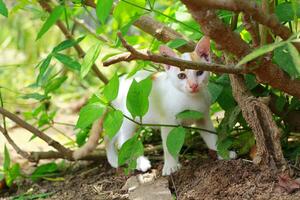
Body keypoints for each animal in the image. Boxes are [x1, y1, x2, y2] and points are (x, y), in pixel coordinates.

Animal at [105, 37, 237, 175]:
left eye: (200, 72)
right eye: (181, 76)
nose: (193, 85)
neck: (191, 99)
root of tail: (121, 79)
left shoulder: (203, 116)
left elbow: (212, 137)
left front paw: (223, 153)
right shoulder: (168, 122)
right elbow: (168, 146)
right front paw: (170, 166)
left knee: (110, 138)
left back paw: (115, 160)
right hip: (128, 117)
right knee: (124, 141)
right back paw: (139, 163)